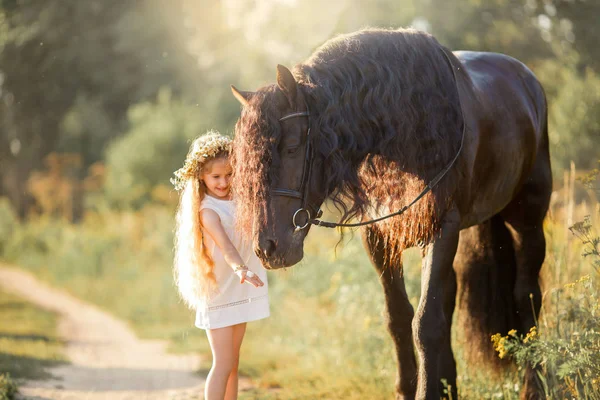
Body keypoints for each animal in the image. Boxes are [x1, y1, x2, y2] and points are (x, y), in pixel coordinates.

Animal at [232, 26, 552, 398]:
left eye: (293, 148)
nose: (267, 248)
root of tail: (527, 79)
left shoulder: (442, 228)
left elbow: (426, 323)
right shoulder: (379, 236)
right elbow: (399, 317)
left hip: (528, 222)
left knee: (525, 297)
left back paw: (534, 386)